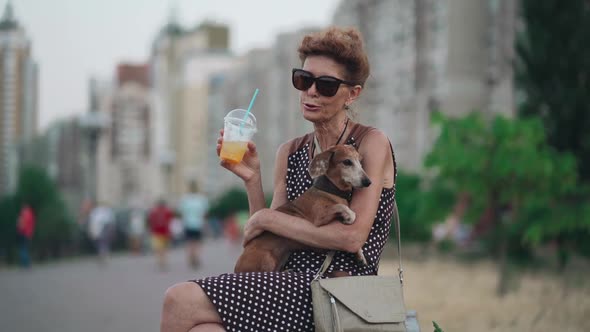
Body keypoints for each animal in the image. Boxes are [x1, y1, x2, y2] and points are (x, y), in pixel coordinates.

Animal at [235, 145, 370, 272]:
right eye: (347, 162)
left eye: (360, 161)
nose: (368, 182)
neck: (329, 191)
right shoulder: (319, 217)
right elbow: (344, 208)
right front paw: (348, 216)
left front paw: (360, 255)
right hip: (267, 258)